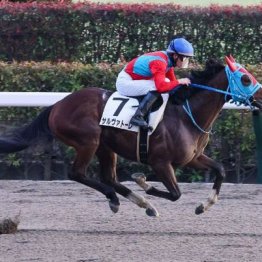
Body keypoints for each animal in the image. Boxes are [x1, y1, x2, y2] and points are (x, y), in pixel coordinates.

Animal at [0, 56, 262, 217]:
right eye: (246, 78)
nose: (261, 97)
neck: (186, 115)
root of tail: (57, 105)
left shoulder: (192, 158)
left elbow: (220, 170)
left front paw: (203, 206)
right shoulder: (160, 162)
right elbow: (175, 194)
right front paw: (143, 181)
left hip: (106, 146)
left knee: (109, 177)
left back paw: (143, 205)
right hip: (88, 141)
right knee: (78, 174)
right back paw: (118, 199)